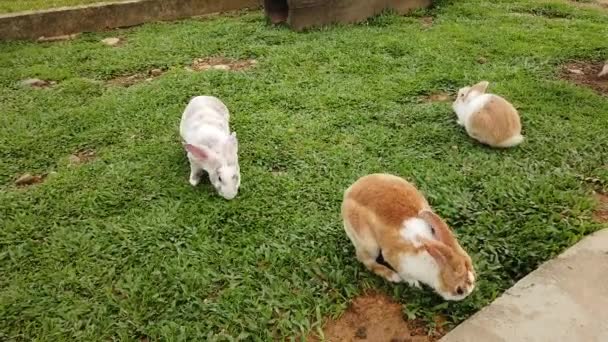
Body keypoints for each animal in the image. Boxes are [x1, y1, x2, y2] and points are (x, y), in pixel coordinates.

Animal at [342, 175, 476, 300]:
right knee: (366, 260)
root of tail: (348, 193)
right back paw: (393, 276)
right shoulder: (395, 259)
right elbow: (406, 275)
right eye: (459, 290)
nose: (467, 295)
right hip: (369, 244)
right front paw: (415, 284)